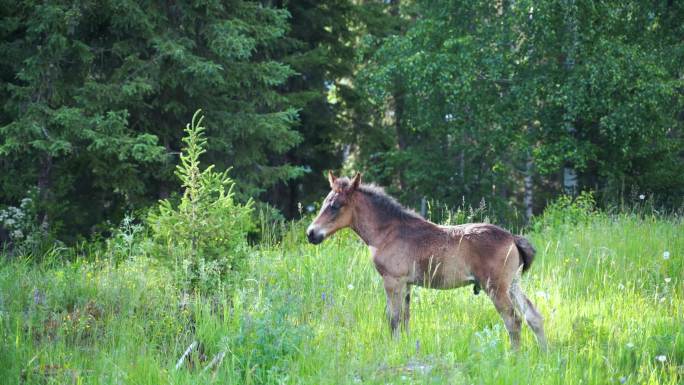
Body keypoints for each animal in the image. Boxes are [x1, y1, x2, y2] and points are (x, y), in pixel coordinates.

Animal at [308, 172, 548, 350]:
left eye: (336, 205)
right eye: (325, 202)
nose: (311, 233)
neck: (387, 232)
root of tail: (513, 238)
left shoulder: (393, 281)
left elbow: (393, 319)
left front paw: (393, 350)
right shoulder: (406, 284)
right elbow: (405, 319)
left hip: (496, 287)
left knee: (513, 320)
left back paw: (514, 356)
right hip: (512, 285)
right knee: (533, 316)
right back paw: (544, 354)